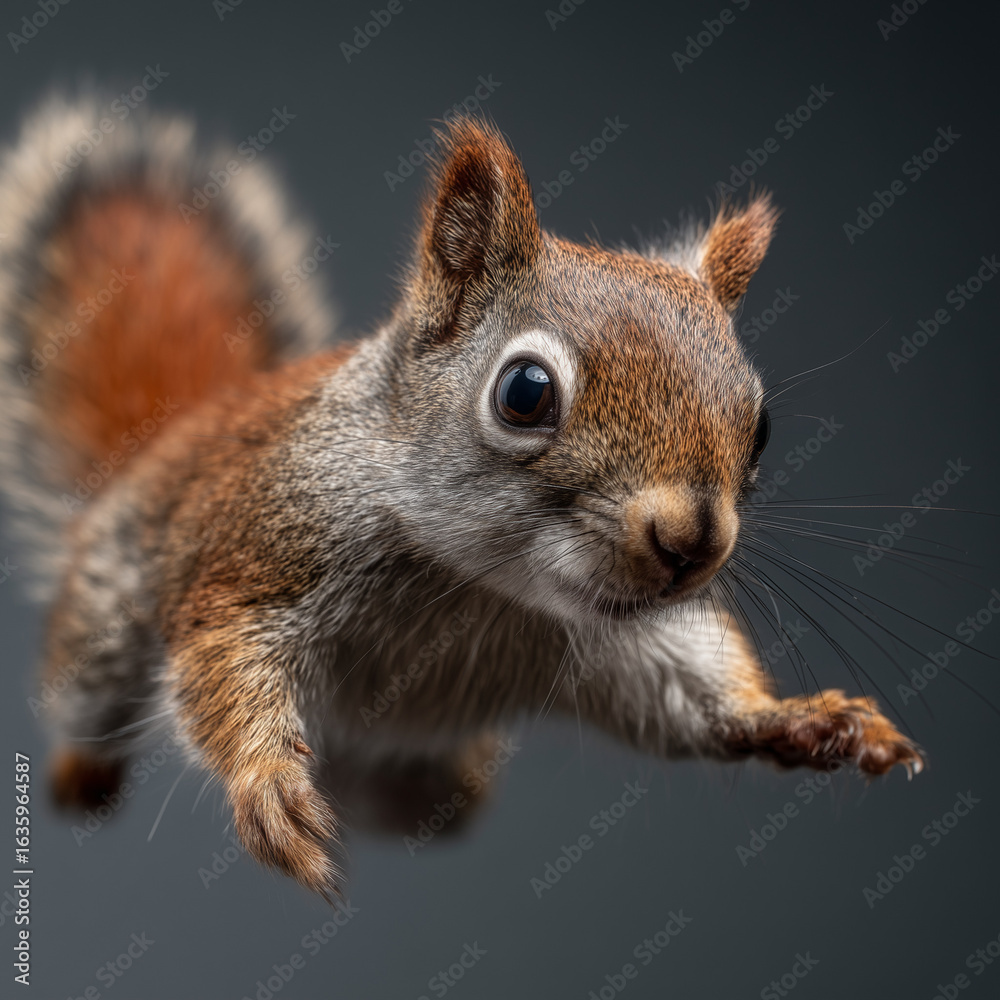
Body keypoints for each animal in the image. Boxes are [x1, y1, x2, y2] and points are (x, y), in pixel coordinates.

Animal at [0, 97, 922, 901]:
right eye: (524, 392)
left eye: (761, 425)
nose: (691, 544)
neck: (481, 583)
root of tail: (177, 432)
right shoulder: (261, 557)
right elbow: (224, 664)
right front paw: (269, 788)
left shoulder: (624, 640)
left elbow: (690, 697)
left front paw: (803, 720)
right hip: (109, 617)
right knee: (91, 688)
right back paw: (82, 772)